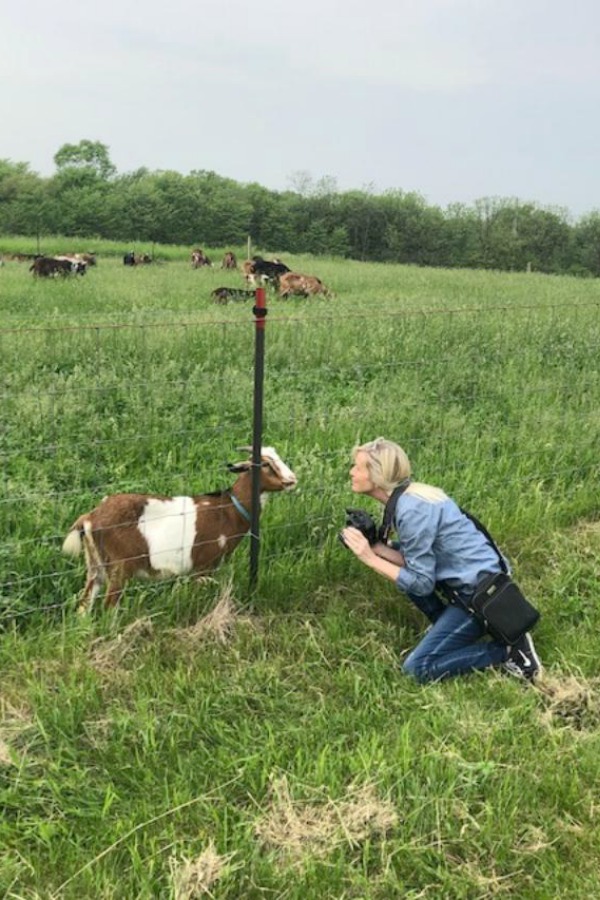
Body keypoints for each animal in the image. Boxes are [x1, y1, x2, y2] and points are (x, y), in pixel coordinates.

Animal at [63, 448, 298, 616]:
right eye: (266, 464)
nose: (292, 480)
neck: (228, 509)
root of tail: (90, 517)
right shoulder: (203, 566)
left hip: (95, 565)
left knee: (84, 604)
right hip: (119, 567)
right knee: (109, 605)